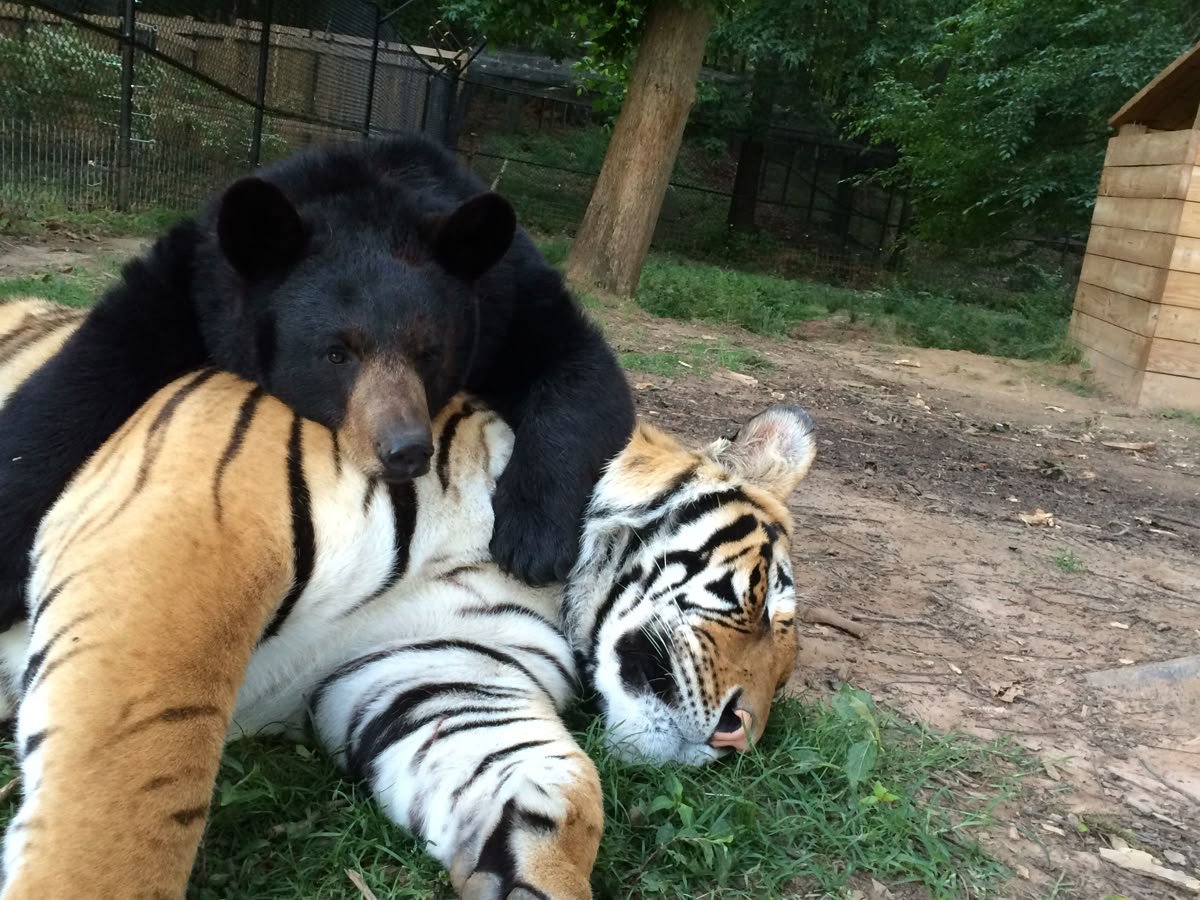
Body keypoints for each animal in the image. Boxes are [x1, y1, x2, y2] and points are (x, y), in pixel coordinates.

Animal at [0, 135, 635, 631]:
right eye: (336, 353)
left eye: (429, 353)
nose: (406, 449)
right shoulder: (193, 280)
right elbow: (85, 375)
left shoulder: (506, 298)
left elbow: (577, 366)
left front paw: (532, 539)